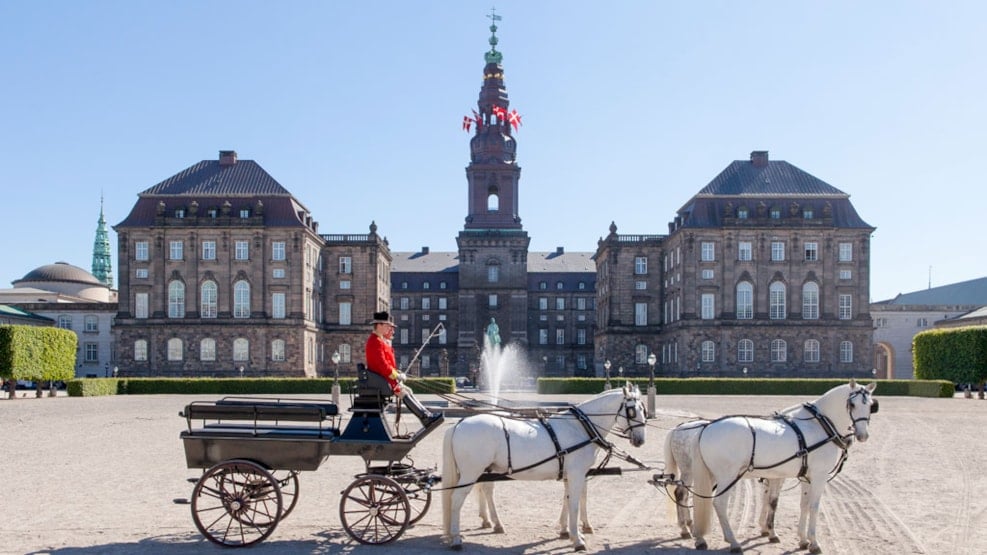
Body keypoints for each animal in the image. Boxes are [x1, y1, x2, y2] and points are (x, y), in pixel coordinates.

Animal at [442, 386, 648, 552]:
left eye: (643, 410)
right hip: (471, 473)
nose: (640, 440)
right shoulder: (576, 474)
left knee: (485, 490)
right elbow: (574, 503)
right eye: (632, 411)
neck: (579, 427)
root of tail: (459, 423)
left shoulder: (570, 474)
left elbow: (570, 499)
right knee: (456, 499)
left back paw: (493, 524)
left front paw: (567, 530)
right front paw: (577, 539)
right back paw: (457, 539)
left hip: (487, 470)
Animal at [688, 380, 880, 552]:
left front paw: (802, 540)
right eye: (852, 404)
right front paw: (814, 542)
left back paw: (700, 538)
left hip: (712, 476)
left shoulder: (806, 477)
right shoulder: (819, 476)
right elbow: (814, 506)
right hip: (727, 477)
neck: (819, 425)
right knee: (719, 504)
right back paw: (733, 542)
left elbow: (804, 505)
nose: (863, 435)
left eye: (871, 405)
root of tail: (706, 427)